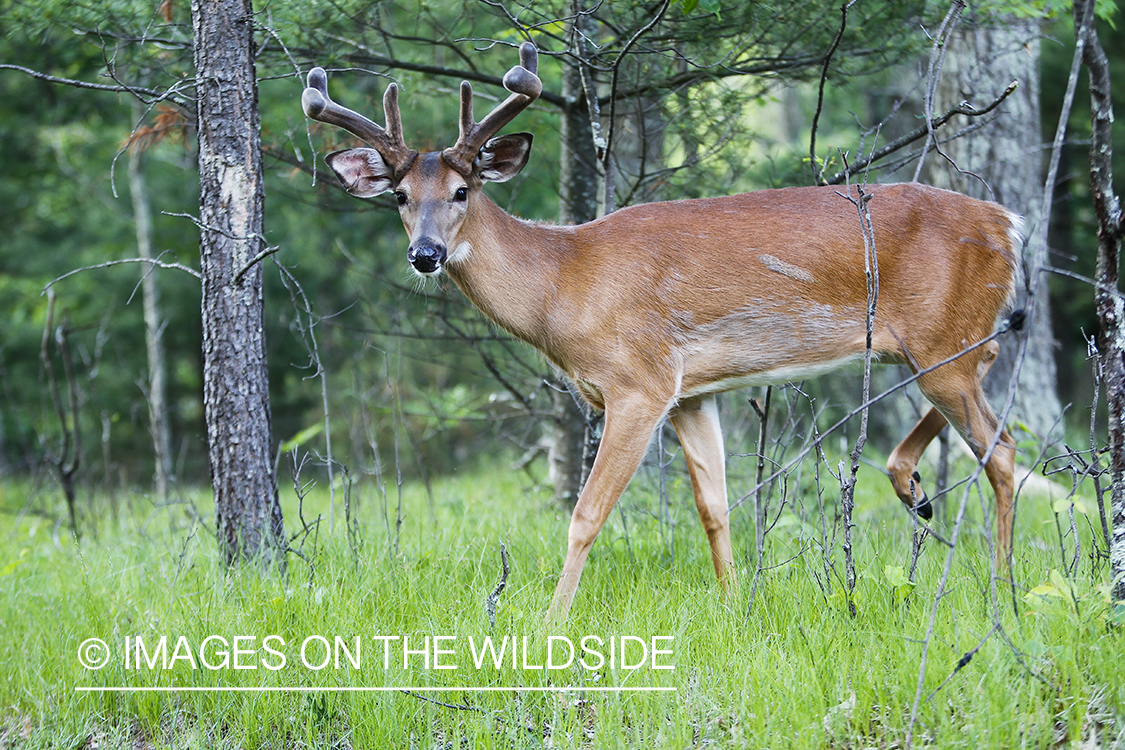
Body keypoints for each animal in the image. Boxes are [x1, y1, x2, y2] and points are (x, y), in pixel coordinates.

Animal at [303, 42, 1026, 620]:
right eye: (399, 196)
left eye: (461, 191)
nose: (424, 254)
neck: (564, 283)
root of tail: (1008, 223)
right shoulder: (691, 392)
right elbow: (714, 506)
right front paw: (734, 608)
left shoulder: (639, 382)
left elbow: (585, 514)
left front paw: (549, 624)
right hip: (935, 344)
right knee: (992, 365)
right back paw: (913, 488)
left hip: (938, 339)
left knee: (1003, 448)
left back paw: (1002, 591)